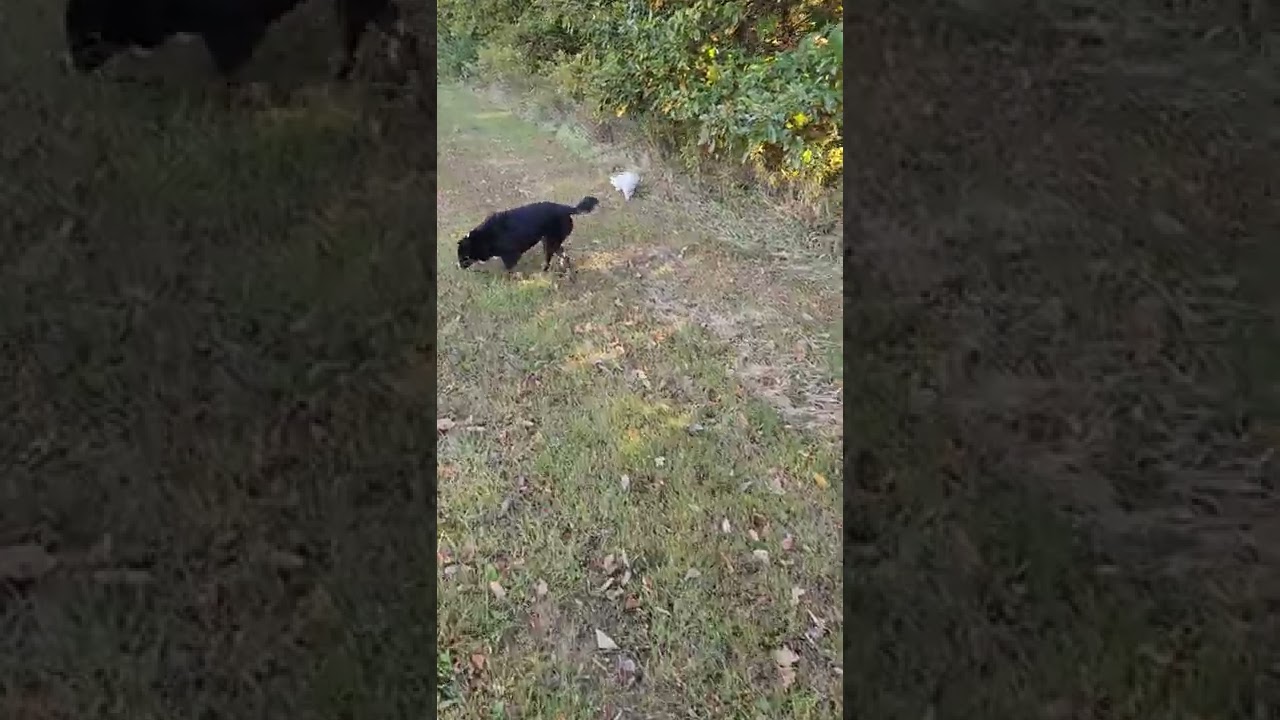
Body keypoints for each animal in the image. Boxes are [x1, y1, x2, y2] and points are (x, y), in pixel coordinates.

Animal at [458, 196, 600, 273]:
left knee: (550, 259)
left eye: (463, 257)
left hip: (550, 242)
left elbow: (508, 269)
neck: (484, 237)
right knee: (564, 257)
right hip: (550, 241)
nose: (459, 266)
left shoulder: (511, 255)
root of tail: (566, 208)